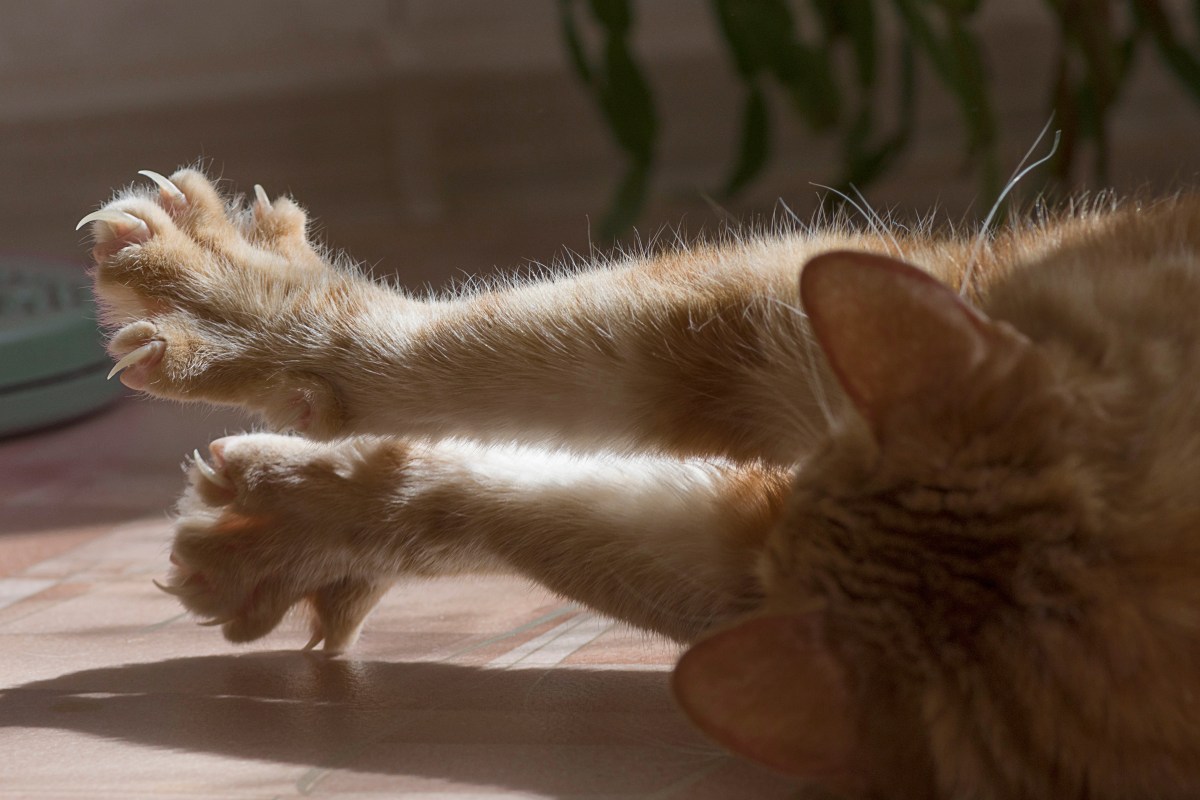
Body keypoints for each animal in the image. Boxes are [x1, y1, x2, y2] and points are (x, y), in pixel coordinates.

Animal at [79, 170, 1200, 800]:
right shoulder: (792, 334)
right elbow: (483, 350)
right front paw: (248, 323)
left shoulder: (759, 583)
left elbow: (541, 509)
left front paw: (303, 511)